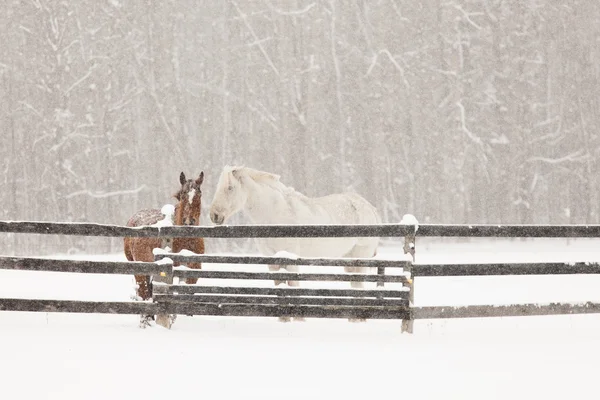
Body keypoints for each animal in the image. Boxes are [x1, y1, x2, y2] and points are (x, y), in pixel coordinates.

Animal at [123, 172, 205, 306]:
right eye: (183, 195)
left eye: (199, 194)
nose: (188, 222)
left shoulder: (193, 272)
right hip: (139, 269)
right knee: (144, 293)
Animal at [211, 166, 380, 290]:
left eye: (230, 188)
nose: (214, 215)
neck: (274, 213)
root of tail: (369, 207)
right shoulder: (271, 259)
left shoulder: (290, 258)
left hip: (361, 257)